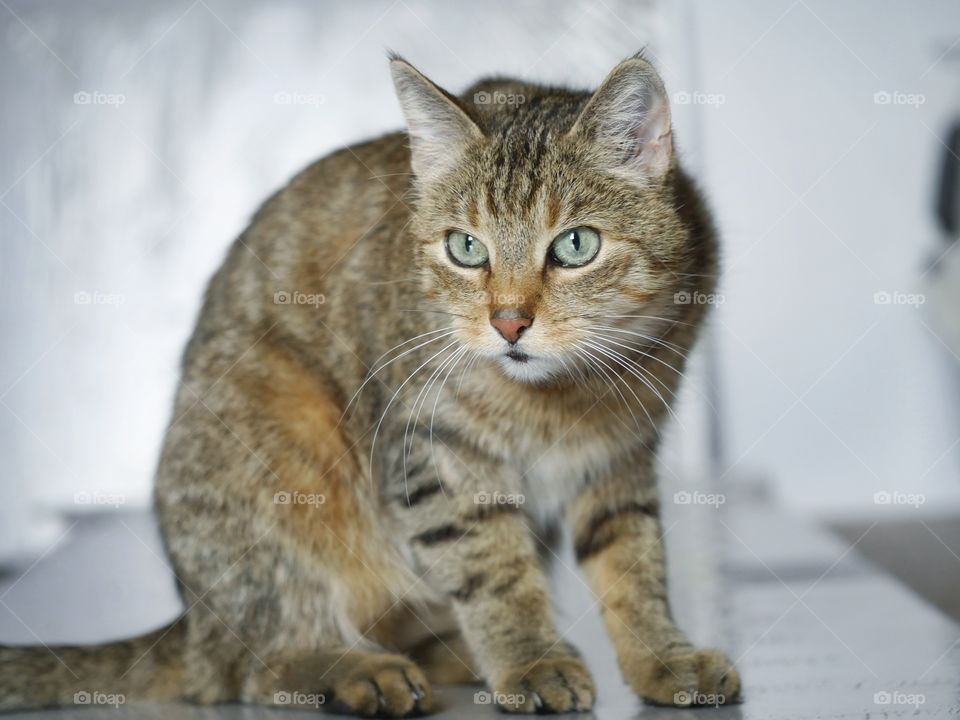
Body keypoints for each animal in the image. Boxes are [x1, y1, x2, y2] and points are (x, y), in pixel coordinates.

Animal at [0, 52, 744, 716]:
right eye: (466, 248)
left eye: (576, 246)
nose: (508, 321)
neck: (567, 397)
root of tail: (196, 623)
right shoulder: (432, 449)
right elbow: (493, 567)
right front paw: (530, 659)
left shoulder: (621, 456)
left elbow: (634, 565)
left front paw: (662, 656)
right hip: (276, 440)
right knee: (255, 666)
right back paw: (356, 668)